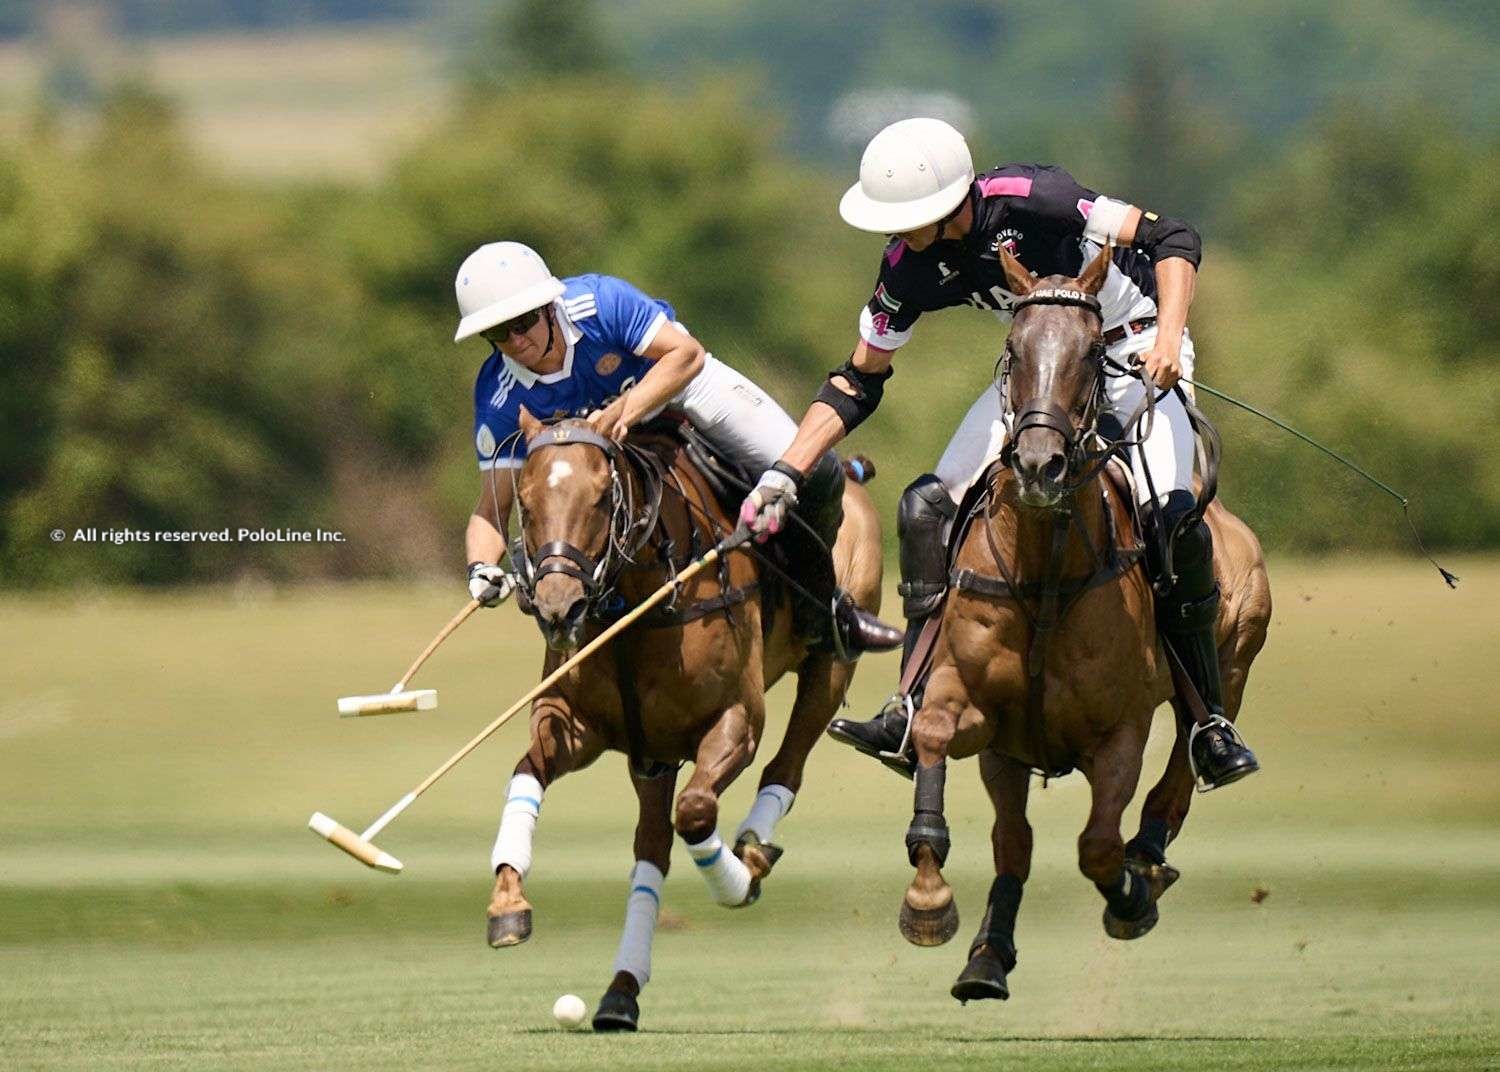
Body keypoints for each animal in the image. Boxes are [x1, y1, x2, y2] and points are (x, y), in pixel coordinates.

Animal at [483, 407, 876, 1025]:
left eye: (602, 497)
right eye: (523, 498)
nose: (558, 608)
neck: (635, 601)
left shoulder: (737, 720)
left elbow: (695, 812)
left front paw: (739, 883)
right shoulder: (574, 721)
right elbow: (527, 771)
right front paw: (507, 903)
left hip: (830, 669)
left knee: (785, 767)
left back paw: (752, 850)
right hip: (653, 753)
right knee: (651, 848)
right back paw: (621, 991)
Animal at [894, 245, 1272, 1007]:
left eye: (1094, 352)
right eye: (1013, 348)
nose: (1041, 465)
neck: (1045, 571)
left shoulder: (1119, 730)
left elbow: (1098, 845)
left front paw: (1129, 895)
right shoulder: (985, 720)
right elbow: (941, 741)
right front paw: (930, 902)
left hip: (1236, 659)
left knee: (1188, 752)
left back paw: (1153, 853)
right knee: (1015, 838)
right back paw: (988, 954)